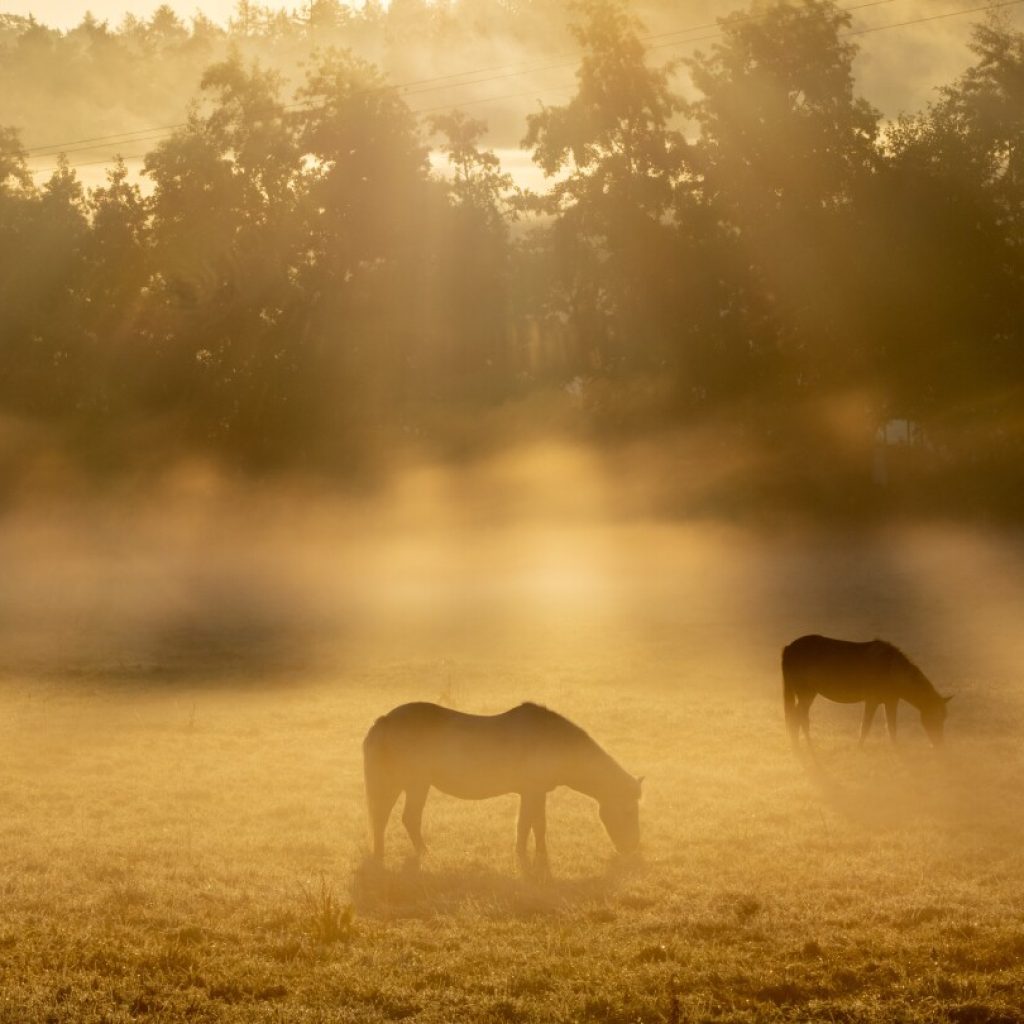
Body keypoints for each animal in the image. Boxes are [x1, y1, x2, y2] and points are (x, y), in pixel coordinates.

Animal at [364, 704, 643, 872]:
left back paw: (382, 855)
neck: (553, 739)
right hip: (411, 783)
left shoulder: (537, 793)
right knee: (399, 817)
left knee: (388, 818)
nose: (633, 848)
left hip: (404, 784)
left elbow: (535, 825)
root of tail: (385, 720)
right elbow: (528, 825)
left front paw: (536, 856)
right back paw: (418, 853)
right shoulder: (531, 792)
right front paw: (527, 858)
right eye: (629, 810)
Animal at [782, 634, 950, 749]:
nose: (939, 745)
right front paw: (860, 748)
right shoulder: (872, 700)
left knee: (797, 717)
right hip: (806, 693)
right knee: (798, 718)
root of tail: (789, 648)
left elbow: (892, 727)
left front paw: (896, 748)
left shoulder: (891, 701)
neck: (891, 668)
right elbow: (866, 726)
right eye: (935, 718)